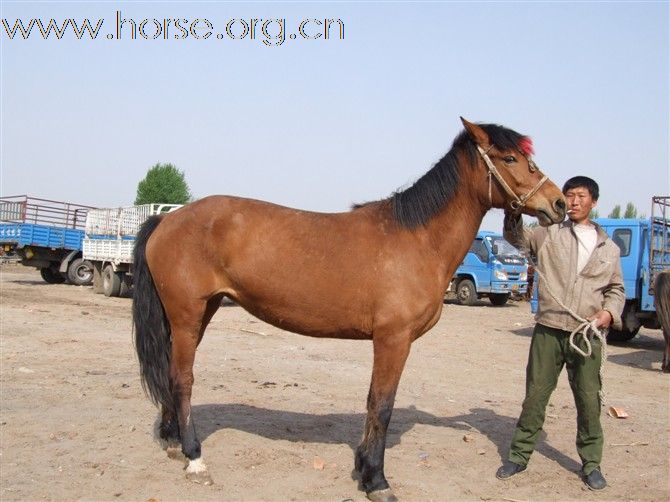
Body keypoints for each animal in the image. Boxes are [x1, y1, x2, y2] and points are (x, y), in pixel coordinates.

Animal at [134, 117, 568, 498]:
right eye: (509, 158)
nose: (559, 202)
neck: (418, 238)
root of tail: (166, 219)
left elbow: (374, 402)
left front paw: (363, 468)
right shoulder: (393, 340)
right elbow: (382, 404)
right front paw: (376, 480)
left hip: (198, 314)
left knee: (172, 374)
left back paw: (172, 441)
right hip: (187, 315)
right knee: (183, 380)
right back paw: (194, 458)